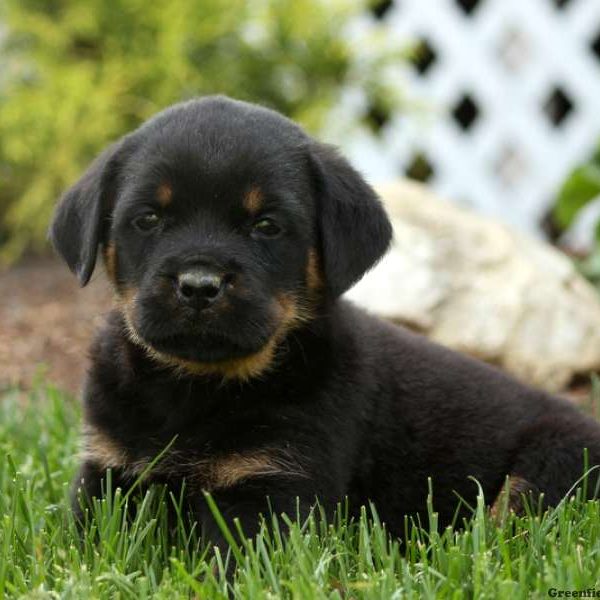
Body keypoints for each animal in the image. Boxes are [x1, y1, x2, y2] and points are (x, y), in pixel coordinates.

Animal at [51, 96, 600, 548]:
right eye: (148, 219)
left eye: (267, 226)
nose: (199, 284)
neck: (195, 388)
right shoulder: (108, 471)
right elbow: (85, 544)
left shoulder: (274, 486)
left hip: (550, 464)